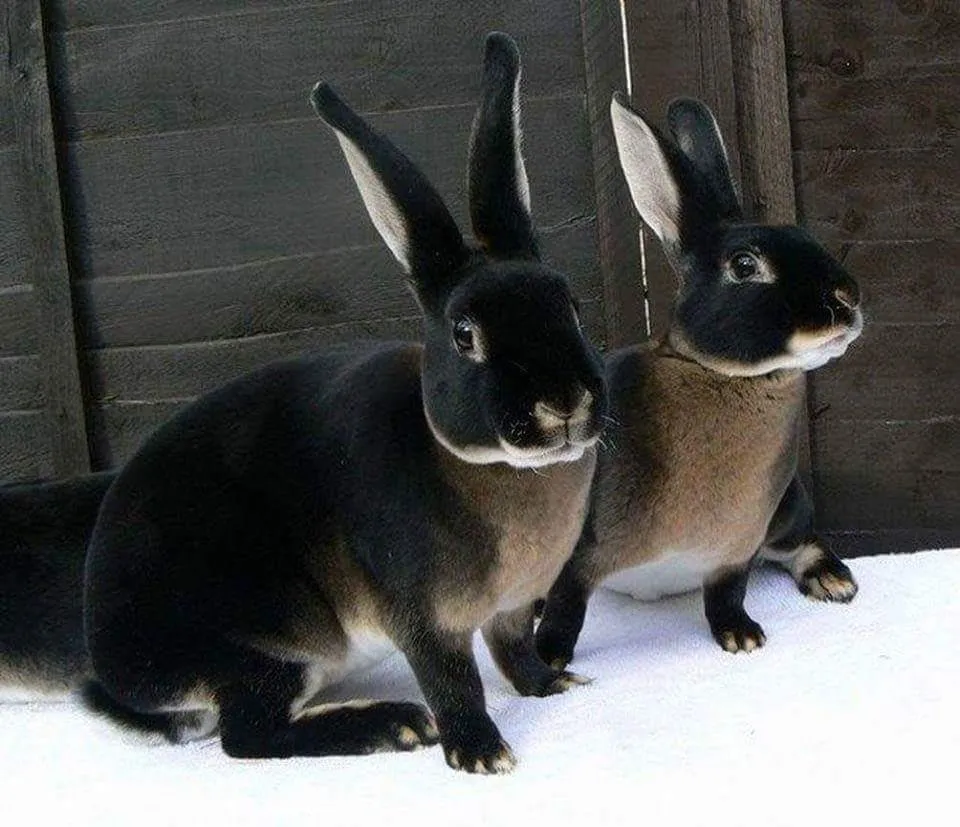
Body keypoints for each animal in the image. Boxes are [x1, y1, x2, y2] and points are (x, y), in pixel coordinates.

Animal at [79, 32, 606, 775]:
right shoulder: (422, 615)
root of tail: (113, 662)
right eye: (464, 334)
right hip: (265, 639)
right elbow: (454, 680)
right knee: (249, 736)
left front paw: (554, 683)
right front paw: (481, 753)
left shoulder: (509, 609)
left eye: (571, 306)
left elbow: (513, 653)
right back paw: (392, 726)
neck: (493, 467)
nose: (562, 402)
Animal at [534, 92, 862, 669]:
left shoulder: (736, 551)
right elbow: (567, 607)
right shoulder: (579, 555)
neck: (717, 372)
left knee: (803, 540)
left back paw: (834, 580)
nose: (847, 300)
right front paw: (548, 658)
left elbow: (726, 595)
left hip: (787, 506)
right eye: (745, 265)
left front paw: (741, 636)